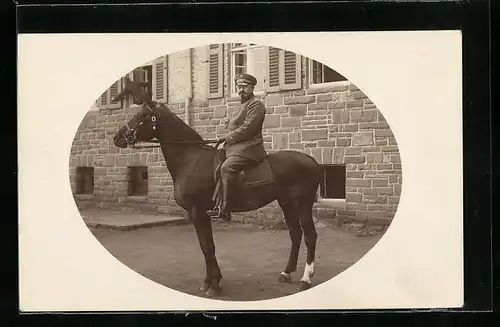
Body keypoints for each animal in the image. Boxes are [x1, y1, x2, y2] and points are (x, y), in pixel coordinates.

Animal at [112, 99, 324, 298]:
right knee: (295, 234)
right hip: (286, 203)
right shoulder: (199, 213)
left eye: (140, 116)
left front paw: (213, 285)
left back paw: (306, 278)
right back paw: (286, 273)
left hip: (302, 204)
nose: (117, 137)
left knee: (310, 236)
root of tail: (312, 160)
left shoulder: (198, 211)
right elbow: (207, 246)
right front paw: (210, 281)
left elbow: (207, 247)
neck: (190, 158)